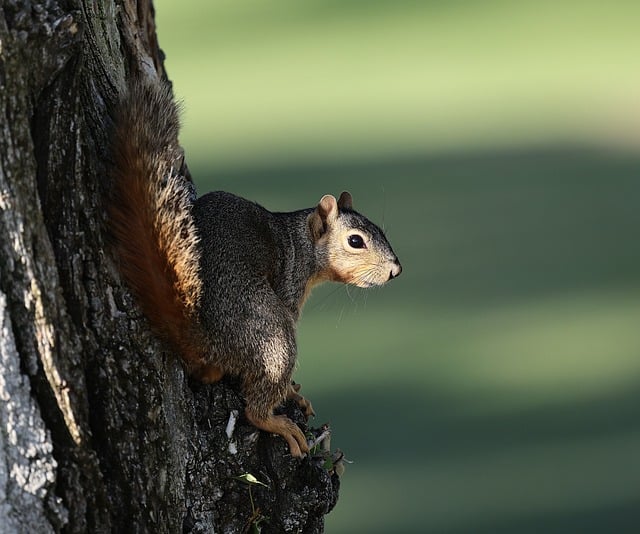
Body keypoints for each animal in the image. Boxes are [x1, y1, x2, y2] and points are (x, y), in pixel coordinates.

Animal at [109, 77, 402, 457]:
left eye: (380, 230)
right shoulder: (289, 286)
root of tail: (204, 339)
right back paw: (278, 420)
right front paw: (291, 391)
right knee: (256, 402)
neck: (299, 243)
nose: (395, 270)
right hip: (270, 331)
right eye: (355, 241)